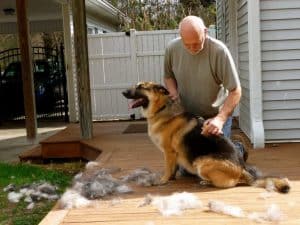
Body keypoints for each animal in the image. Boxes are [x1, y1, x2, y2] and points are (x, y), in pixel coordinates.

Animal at [122, 82, 290, 193]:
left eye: (141, 87)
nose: (123, 92)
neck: (162, 109)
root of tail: (242, 168)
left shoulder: (169, 152)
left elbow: (168, 169)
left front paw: (163, 180)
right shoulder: (173, 155)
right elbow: (173, 168)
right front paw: (172, 178)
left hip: (201, 163)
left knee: (231, 183)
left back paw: (205, 182)